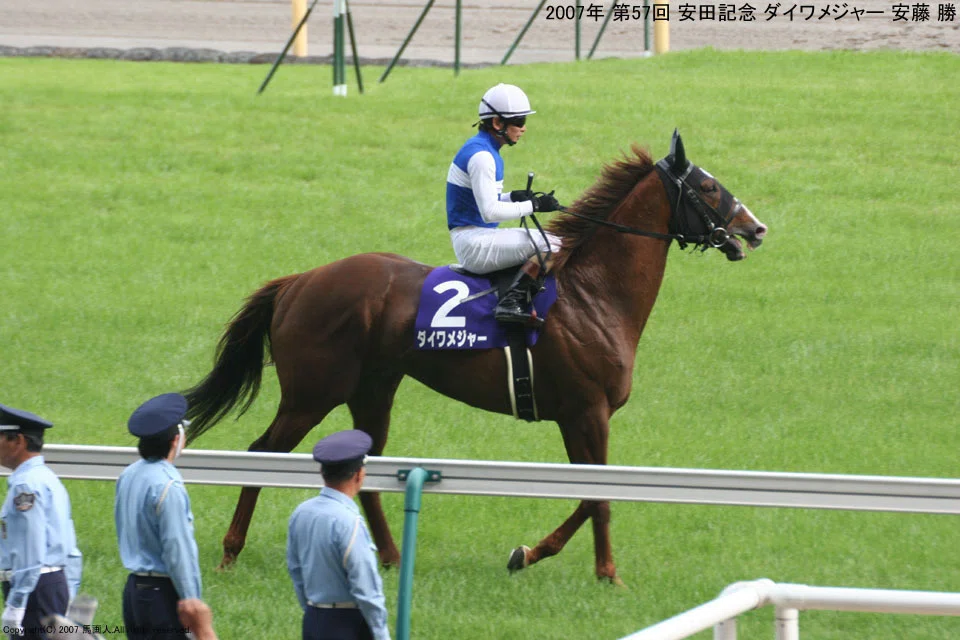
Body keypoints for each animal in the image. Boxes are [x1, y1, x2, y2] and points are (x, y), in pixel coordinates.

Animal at [182, 130, 768, 584]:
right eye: (708, 186)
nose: (755, 228)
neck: (595, 294)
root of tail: (299, 281)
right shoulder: (589, 411)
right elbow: (598, 496)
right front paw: (603, 574)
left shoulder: (576, 416)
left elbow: (588, 493)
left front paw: (529, 554)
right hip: (312, 392)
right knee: (263, 452)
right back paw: (231, 552)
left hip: (373, 388)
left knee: (364, 466)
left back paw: (390, 556)